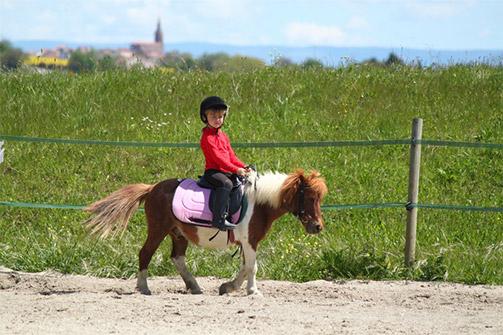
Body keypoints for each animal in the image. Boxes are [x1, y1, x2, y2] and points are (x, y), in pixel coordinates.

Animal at [84, 171, 328, 296]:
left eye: (319, 198)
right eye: (309, 197)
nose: (317, 227)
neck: (259, 203)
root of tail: (152, 188)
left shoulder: (246, 242)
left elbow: (244, 267)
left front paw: (228, 287)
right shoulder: (250, 240)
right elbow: (252, 267)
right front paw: (252, 291)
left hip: (178, 233)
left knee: (177, 258)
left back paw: (194, 286)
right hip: (158, 229)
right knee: (145, 253)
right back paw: (144, 288)